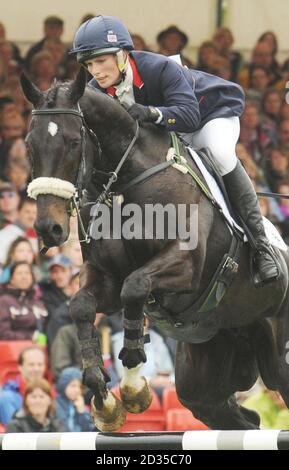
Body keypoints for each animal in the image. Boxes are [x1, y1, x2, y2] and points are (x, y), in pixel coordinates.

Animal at [20, 68, 289, 432]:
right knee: (241, 418)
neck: (123, 183)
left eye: (74, 142)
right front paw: (103, 398)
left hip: (278, 358)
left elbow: (135, 287)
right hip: (205, 377)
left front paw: (133, 386)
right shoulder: (105, 278)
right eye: (29, 145)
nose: (50, 228)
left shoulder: (185, 266)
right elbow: (81, 306)